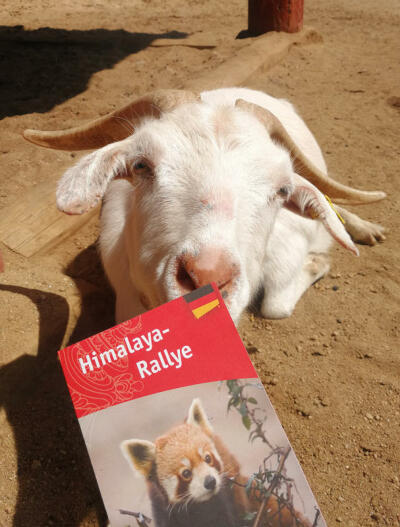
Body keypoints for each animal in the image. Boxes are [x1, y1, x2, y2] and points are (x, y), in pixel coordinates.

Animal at [23, 88, 386, 324]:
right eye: (141, 165)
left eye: (283, 190)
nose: (208, 276)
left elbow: (275, 305)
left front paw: (319, 261)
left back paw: (366, 229)